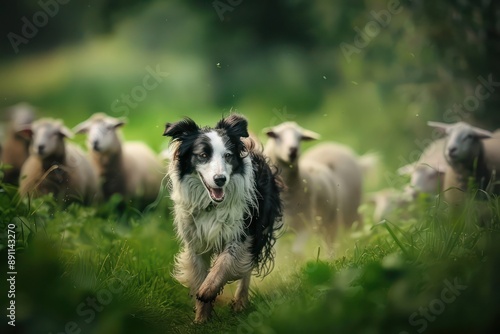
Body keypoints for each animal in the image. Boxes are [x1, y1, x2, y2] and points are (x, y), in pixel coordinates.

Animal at [163, 113, 284, 322]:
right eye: (203, 155)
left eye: (228, 155)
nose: (220, 179)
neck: (212, 204)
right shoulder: (195, 240)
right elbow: (199, 274)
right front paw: (201, 318)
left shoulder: (242, 232)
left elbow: (224, 263)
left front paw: (207, 291)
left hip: (259, 228)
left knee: (247, 268)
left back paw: (240, 303)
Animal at [264, 121, 366, 252]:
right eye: (277, 136)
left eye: (300, 138)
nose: (293, 150)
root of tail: (332, 146)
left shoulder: (306, 225)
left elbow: (296, 252)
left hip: (341, 217)